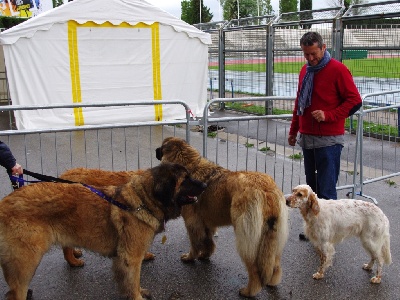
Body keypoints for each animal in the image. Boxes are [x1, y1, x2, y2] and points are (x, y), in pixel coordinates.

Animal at [0, 163, 206, 300]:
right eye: (186, 179)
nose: (205, 185)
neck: (143, 201)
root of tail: (4, 203)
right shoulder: (131, 257)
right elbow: (133, 281)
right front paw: (138, 296)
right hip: (26, 262)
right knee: (16, 291)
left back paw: (73, 259)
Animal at [155, 137, 290, 298]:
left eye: (161, 147)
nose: (156, 150)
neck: (190, 165)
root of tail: (266, 189)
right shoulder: (206, 221)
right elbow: (208, 240)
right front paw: (205, 254)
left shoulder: (192, 222)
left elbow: (195, 242)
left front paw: (190, 257)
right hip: (274, 236)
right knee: (274, 262)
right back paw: (271, 281)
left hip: (247, 239)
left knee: (254, 269)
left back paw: (249, 291)